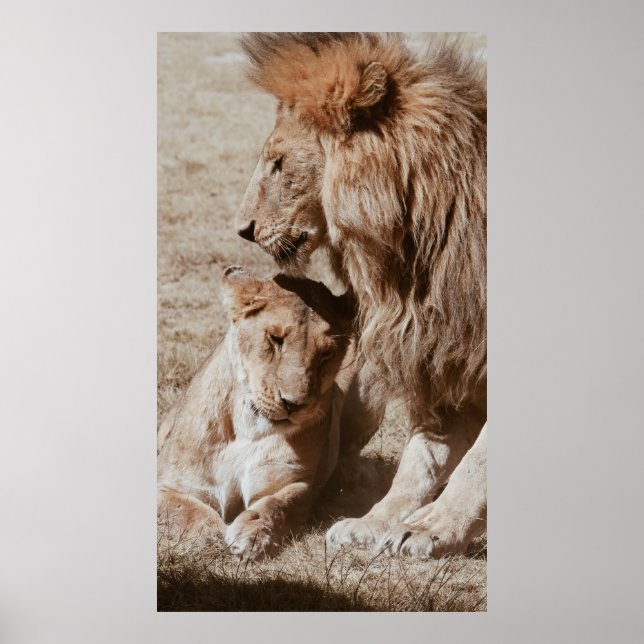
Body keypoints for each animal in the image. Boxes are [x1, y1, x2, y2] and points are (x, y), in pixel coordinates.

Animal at [157, 266, 353, 561]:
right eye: (275, 339)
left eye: (326, 353)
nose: (294, 404)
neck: (247, 426)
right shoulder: (171, 485)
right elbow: (185, 510)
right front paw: (213, 533)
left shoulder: (296, 482)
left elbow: (276, 506)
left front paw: (252, 536)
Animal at [235, 33, 487, 558]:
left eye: (279, 163)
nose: (242, 229)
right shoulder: (441, 355)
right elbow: (420, 460)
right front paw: (375, 523)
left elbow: (477, 463)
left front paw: (433, 528)